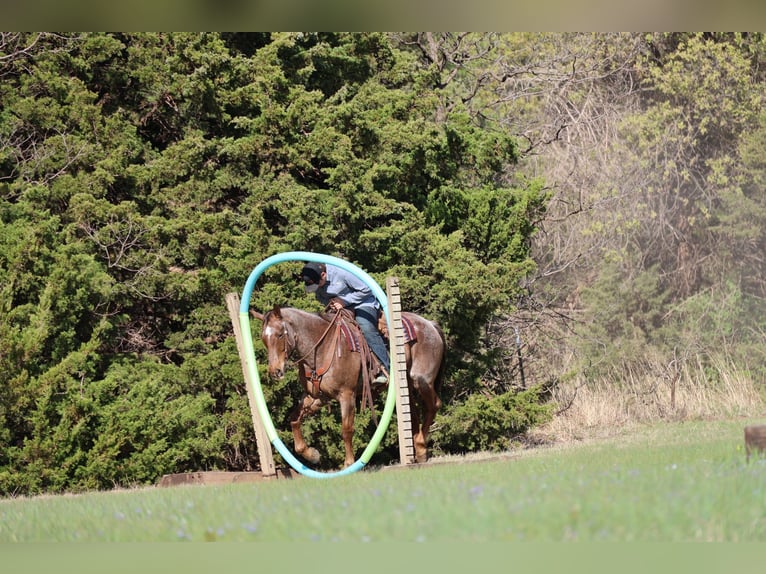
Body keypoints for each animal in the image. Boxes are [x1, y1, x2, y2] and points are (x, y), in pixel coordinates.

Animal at [251, 305, 445, 467]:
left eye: (279, 334)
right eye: (263, 338)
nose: (275, 371)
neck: (321, 347)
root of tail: (429, 324)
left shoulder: (347, 395)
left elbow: (346, 430)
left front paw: (349, 463)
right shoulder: (317, 397)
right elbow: (294, 419)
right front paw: (312, 454)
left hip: (421, 379)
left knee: (433, 405)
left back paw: (420, 445)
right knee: (413, 411)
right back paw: (418, 452)